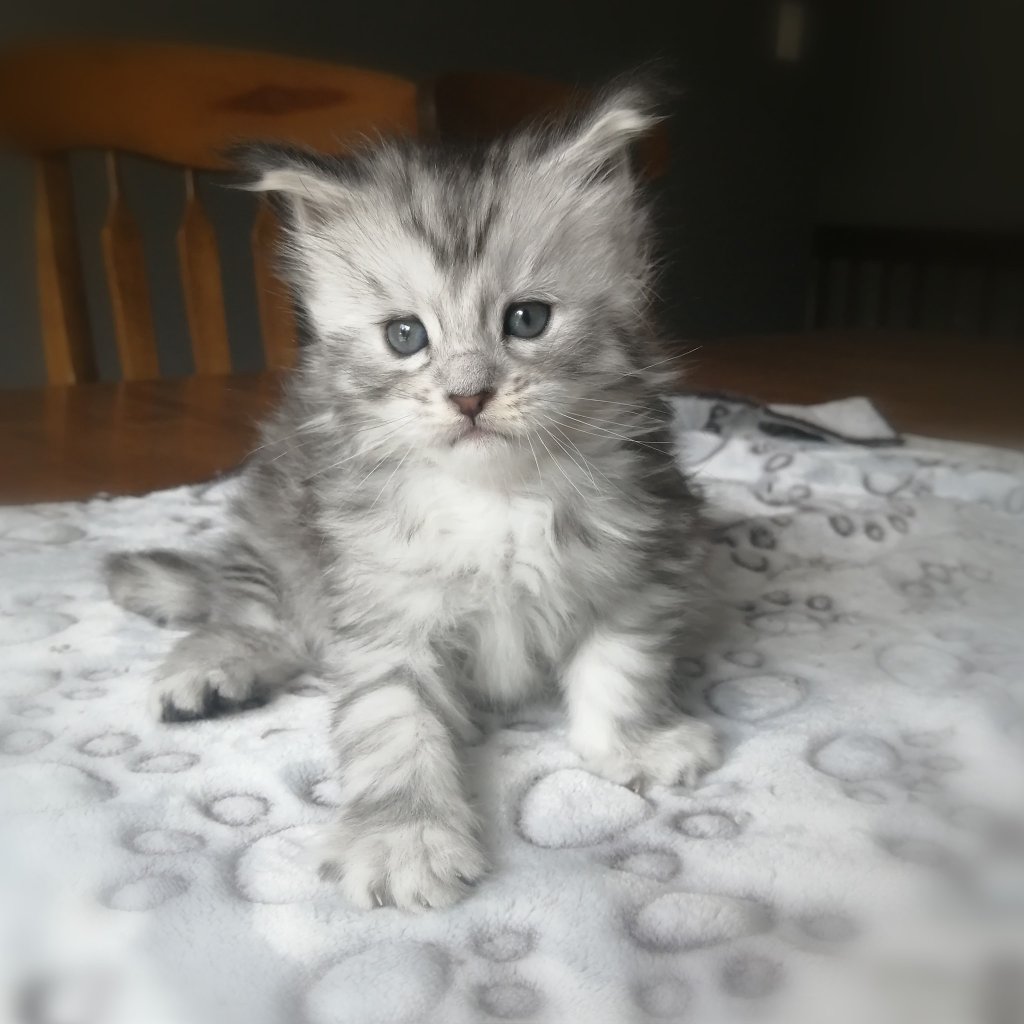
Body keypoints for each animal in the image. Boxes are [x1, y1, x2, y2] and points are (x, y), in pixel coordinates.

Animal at [105, 77, 719, 911]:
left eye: (527, 319)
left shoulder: (637, 560)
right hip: (279, 530)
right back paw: (209, 672)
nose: (469, 397)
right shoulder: (382, 604)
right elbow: (392, 722)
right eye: (405, 336)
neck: (496, 499)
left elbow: (620, 670)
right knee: (254, 616)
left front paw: (635, 745)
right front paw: (405, 840)